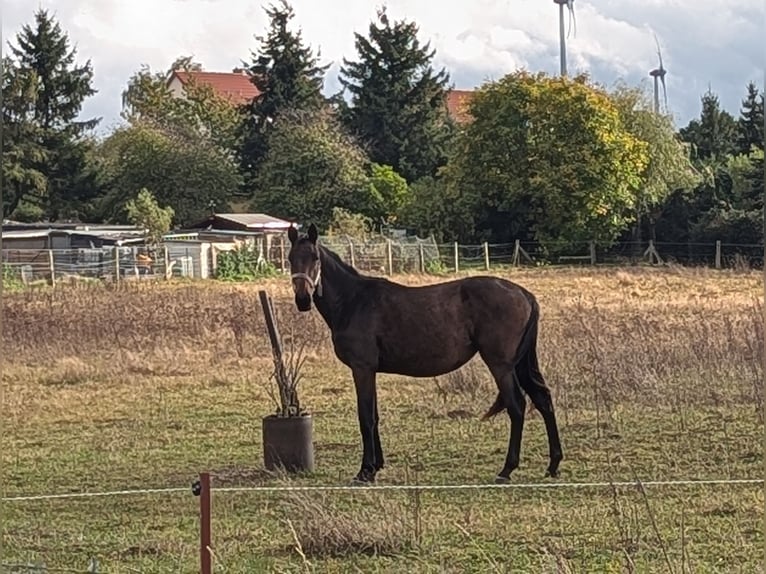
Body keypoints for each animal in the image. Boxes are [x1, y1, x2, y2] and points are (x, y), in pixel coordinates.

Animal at [288, 225, 564, 486]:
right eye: (290, 258)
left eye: (314, 258)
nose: (302, 299)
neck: (354, 301)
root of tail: (525, 294)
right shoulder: (370, 371)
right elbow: (374, 416)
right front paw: (377, 466)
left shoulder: (362, 369)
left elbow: (365, 417)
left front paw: (365, 471)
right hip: (518, 364)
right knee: (543, 399)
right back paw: (553, 464)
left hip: (502, 365)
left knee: (517, 406)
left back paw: (507, 469)